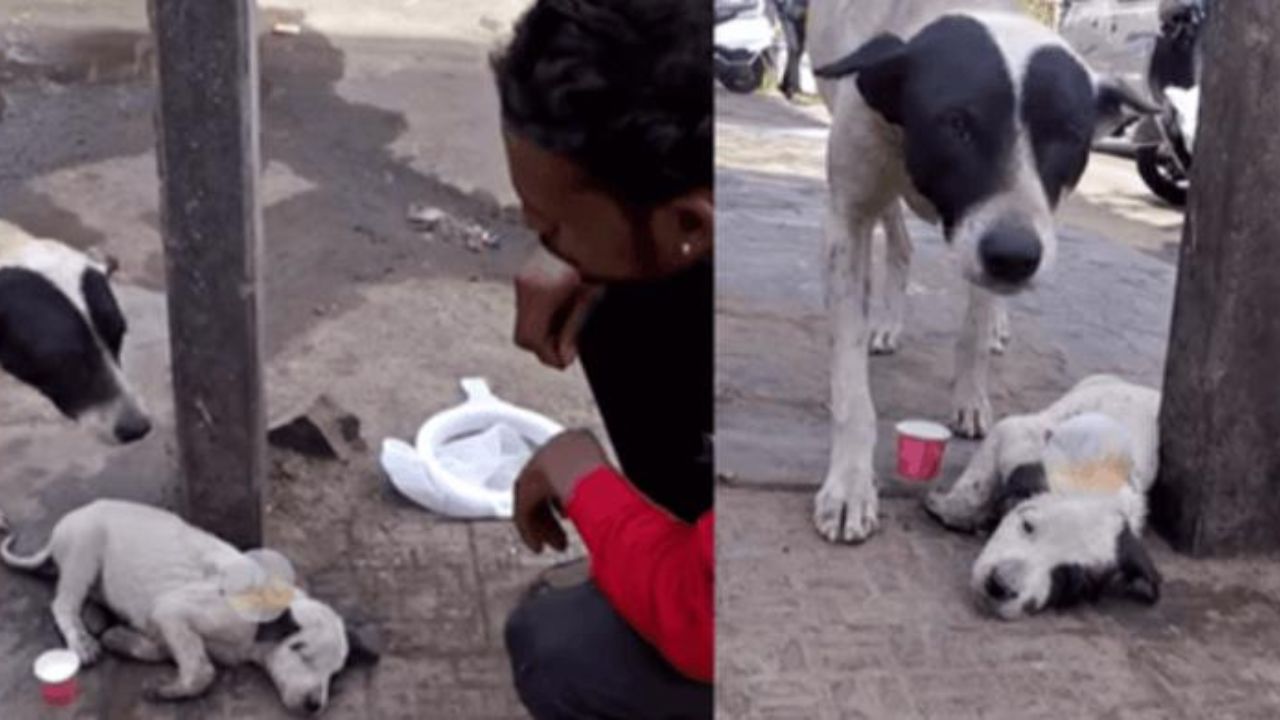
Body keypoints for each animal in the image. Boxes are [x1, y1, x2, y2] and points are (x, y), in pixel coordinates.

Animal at [1, 499, 373, 712]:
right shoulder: (172, 609)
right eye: (301, 652)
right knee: (63, 603)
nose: (315, 706)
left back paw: (96, 620)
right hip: (84, 550)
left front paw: (121, 639)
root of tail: (63, 527)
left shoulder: (165, 623)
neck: (253, 637)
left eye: (334, 674)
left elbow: (168, 650)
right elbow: (202, 670)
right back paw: (83, 641)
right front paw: (165, 689)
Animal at [808, 0, 1162, 538]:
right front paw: (849, 484)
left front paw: (971, 395)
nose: (1014, 257)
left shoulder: (1012, 228)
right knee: (900, 242)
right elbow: (850, 380)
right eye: (956, 124)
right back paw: (887, 323)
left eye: (1068, 136)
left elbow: (973, 329)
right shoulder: (849, 212)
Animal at [926, 376, 1167, 617]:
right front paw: (949, 508)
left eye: (1069, 578)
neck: (1093, 480)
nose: (1000, 586)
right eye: (1027, 525)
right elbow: (977, 484)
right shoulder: (1015, 433)